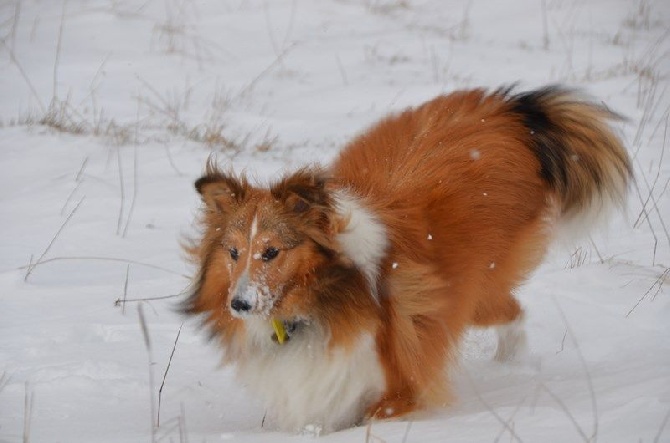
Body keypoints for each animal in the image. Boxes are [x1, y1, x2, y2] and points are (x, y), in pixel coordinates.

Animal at [181, 86, 632, 434]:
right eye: (233, 252)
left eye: (272, 251)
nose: (239, 304)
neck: (315, 304)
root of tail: (507, 112)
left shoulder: (395, 385)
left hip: (473, 291)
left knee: (513, 311)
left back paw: (511, 366)